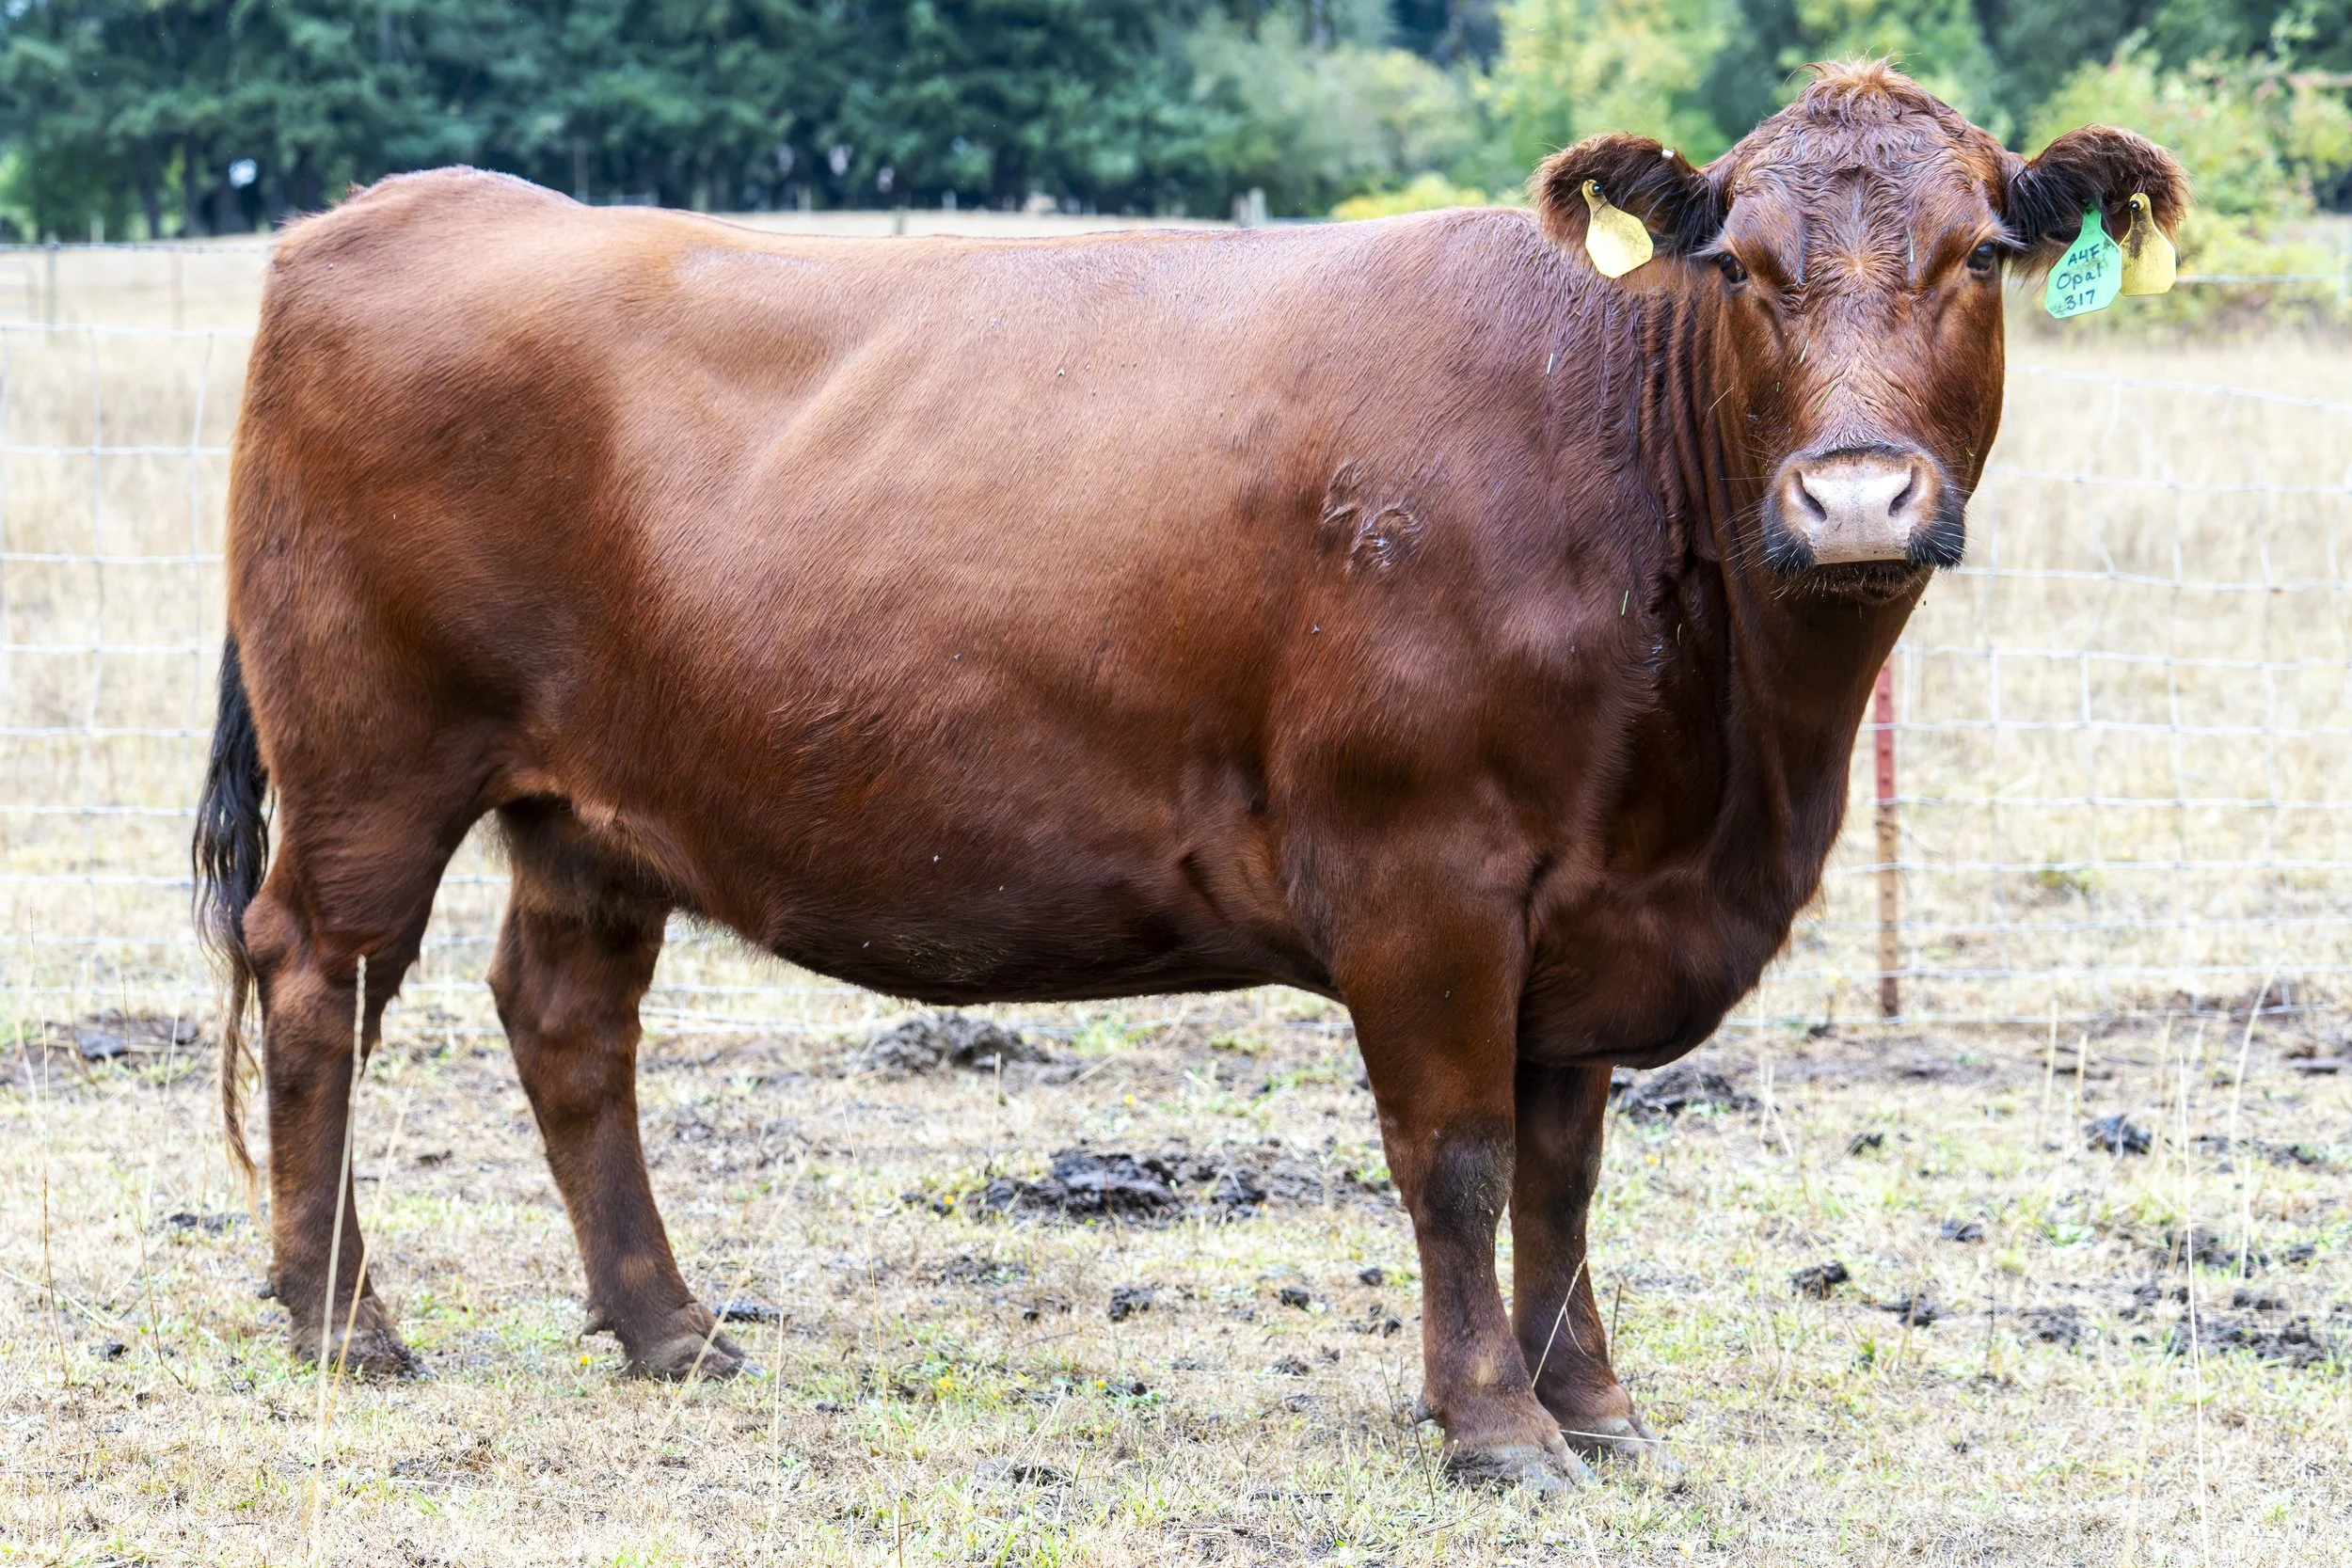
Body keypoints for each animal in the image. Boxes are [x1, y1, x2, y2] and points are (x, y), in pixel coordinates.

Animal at [194, 60, 2183, 1489]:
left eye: (1981, 257)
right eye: (1745, 270)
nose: (1856, 500)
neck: (1730, 760)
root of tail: (396, 209)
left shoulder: (1593, 908)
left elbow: (1565, 1171)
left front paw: (1599, 1409)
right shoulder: (1425, 874)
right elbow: (1460, 1160)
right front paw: (1495, 1429)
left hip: (592, 811)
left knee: (564, 1020)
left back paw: (670, 1327)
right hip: (376, 759)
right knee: (319, 982)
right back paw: (341, 1320)